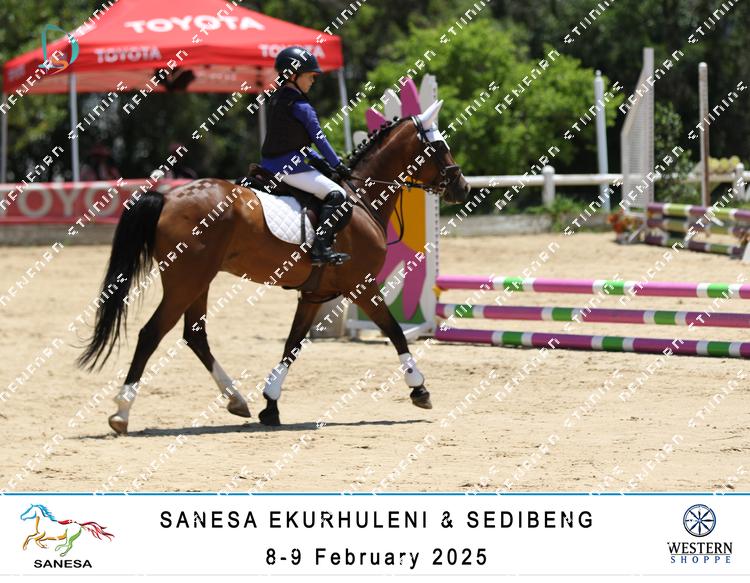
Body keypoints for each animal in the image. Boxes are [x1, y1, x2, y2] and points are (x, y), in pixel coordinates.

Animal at [76, 100, 470, 434]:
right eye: (439, 147)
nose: (462, 188)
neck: (359, 199)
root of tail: (168, 196)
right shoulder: (361, 285)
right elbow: (395, 331)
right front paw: (419, 389)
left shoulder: (314, 295)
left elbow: (292, 345)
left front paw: (270, 405)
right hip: (186, 281)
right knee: (151, 334)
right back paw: (121, 412)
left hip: (198, 282)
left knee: (195, 336)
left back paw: (236, 400)